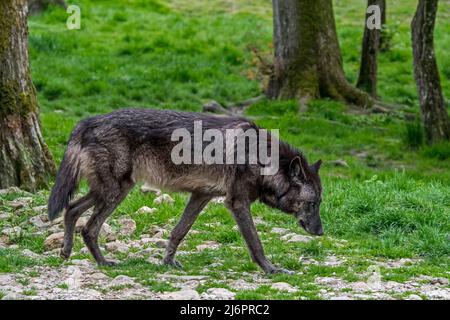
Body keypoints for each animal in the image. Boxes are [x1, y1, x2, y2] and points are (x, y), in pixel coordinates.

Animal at [48, 109, 324, 274]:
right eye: (312, 204)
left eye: (319, 203)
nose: (321, 232)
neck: (261, 158)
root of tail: (86, 121)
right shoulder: (237, 203)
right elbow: (256, 243)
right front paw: (271, 269)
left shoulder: (201, 196)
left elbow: (179, 231)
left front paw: (168, 262)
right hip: (114, 192)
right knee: (88, 227)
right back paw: (103, 262)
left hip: (114, 190)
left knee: (71, 209)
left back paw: (66, 252)